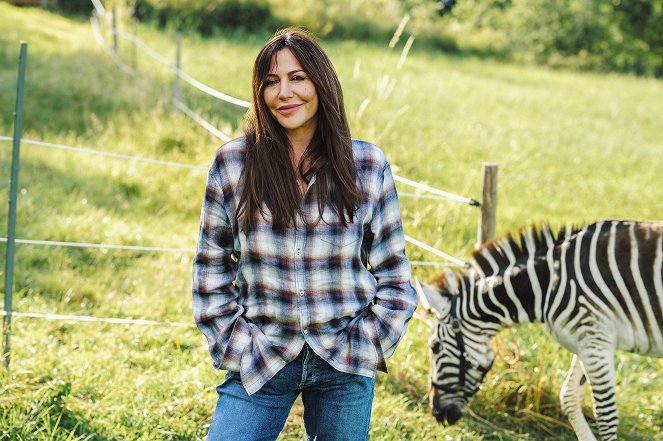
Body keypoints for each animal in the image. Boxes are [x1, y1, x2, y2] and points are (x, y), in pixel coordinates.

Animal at [420, 220, 663, 440]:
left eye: (435, 347)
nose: (437, 414)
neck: (548, 284)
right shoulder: (588, 341)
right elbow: (568, 398)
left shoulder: (595, 341)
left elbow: (605, 417)